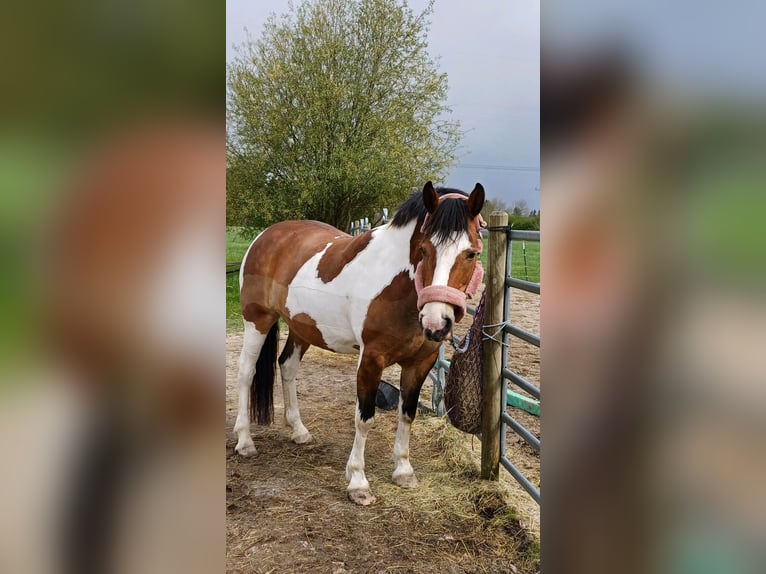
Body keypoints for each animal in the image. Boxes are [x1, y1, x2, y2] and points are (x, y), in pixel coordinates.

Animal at [234, 181, 485, 505]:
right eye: (423, 249)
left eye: (471, 254)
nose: (435, 323)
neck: (397, 286)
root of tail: (266, 235)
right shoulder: (371, 360)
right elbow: (364, 418)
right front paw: (357, 482)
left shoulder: (420, 363)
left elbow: (407, 414)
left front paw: (403, 471)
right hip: (258, 320)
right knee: (246, 373)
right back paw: (244, 441)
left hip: (302, 328)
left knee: (287, 367)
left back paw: (299, 431)